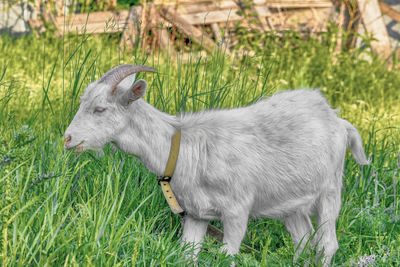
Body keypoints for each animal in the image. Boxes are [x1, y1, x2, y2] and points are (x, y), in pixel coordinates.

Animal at [65, 64, 368, 266]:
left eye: (100, 109)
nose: (67, 139)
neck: (184, 148)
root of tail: (337, 119)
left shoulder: (236, 211)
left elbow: (227, 256)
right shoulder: (194, 214)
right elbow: (186, 256)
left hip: (330, 189)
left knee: (326, 244)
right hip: (291, 203)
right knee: (304, 242)